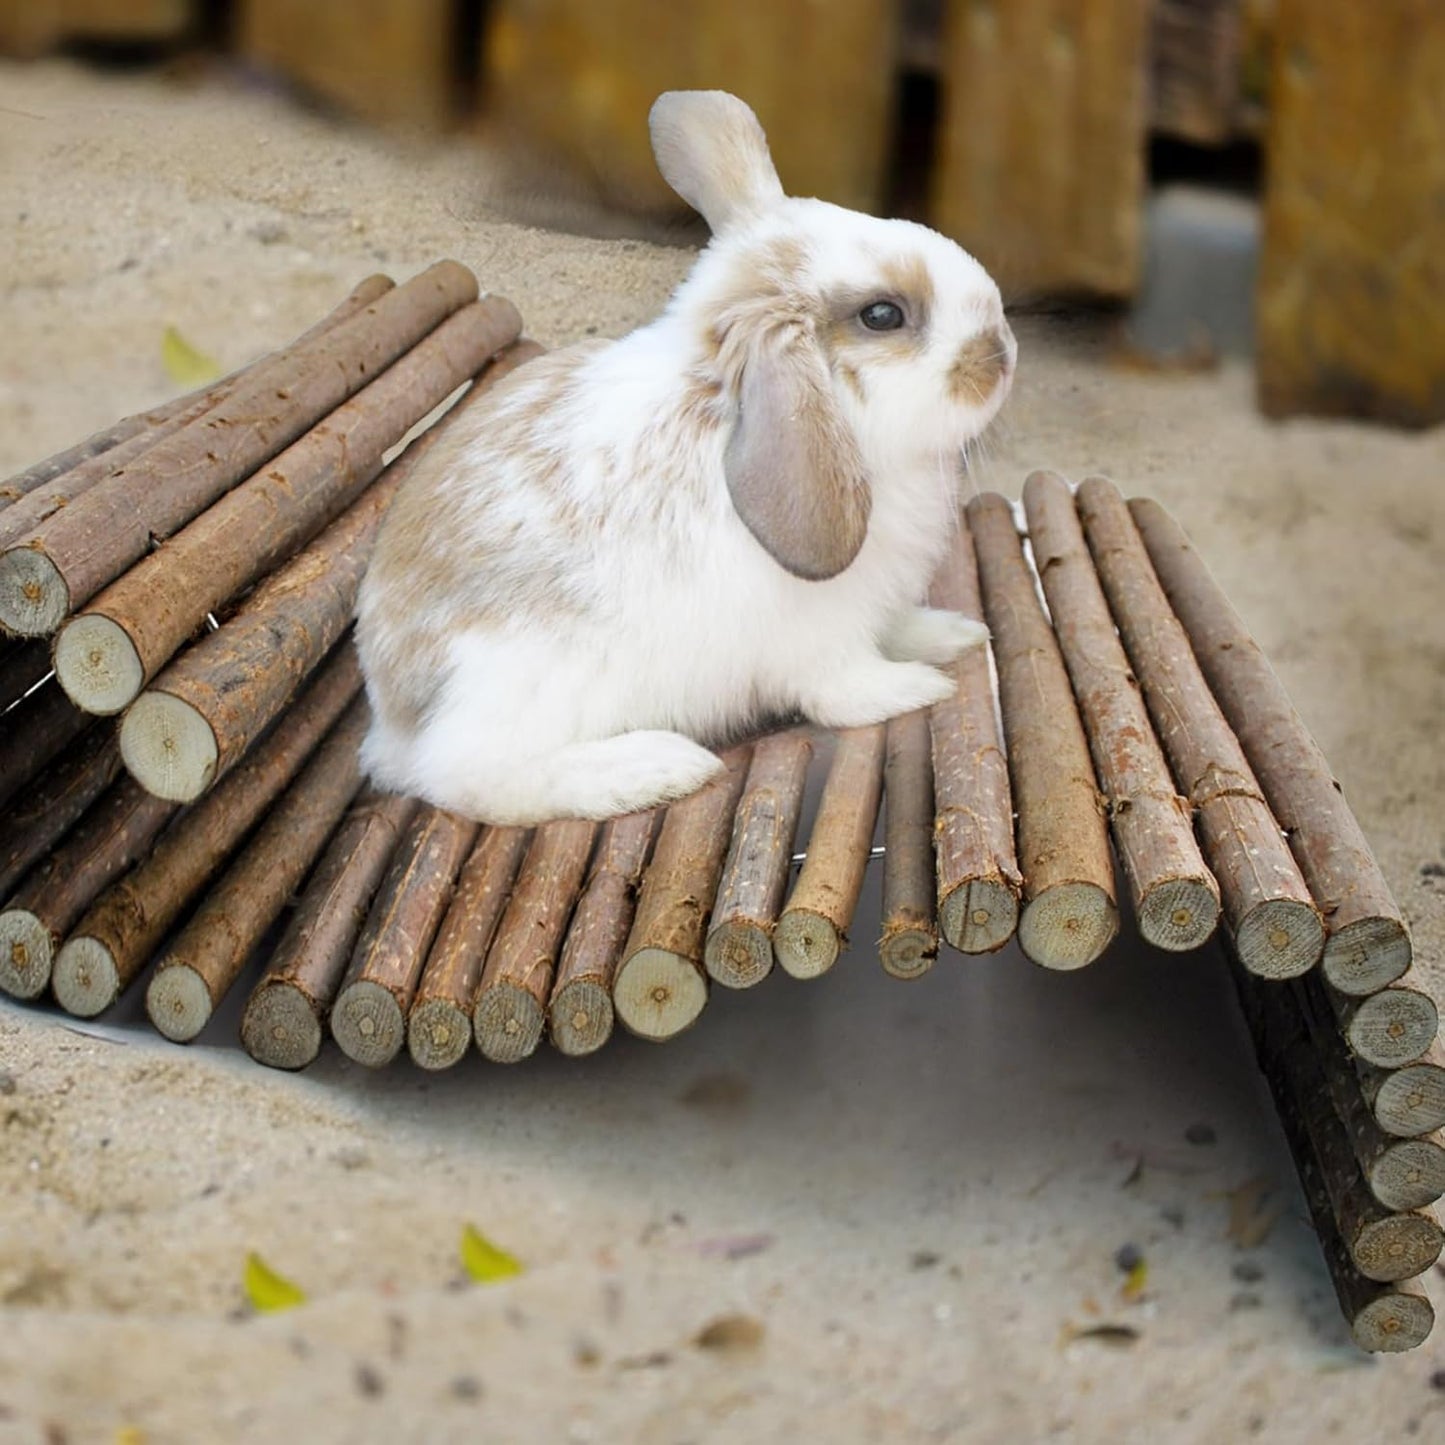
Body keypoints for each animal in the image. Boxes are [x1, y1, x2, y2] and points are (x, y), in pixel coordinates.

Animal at [355, 90, 1016, 825]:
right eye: (883, 315)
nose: (1002, 352)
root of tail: (394, 715)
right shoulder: (820, 639)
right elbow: (845, 690)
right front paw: (916, 687)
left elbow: (900, 627)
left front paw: (953, 634)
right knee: (471, 777)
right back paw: (654, 768)